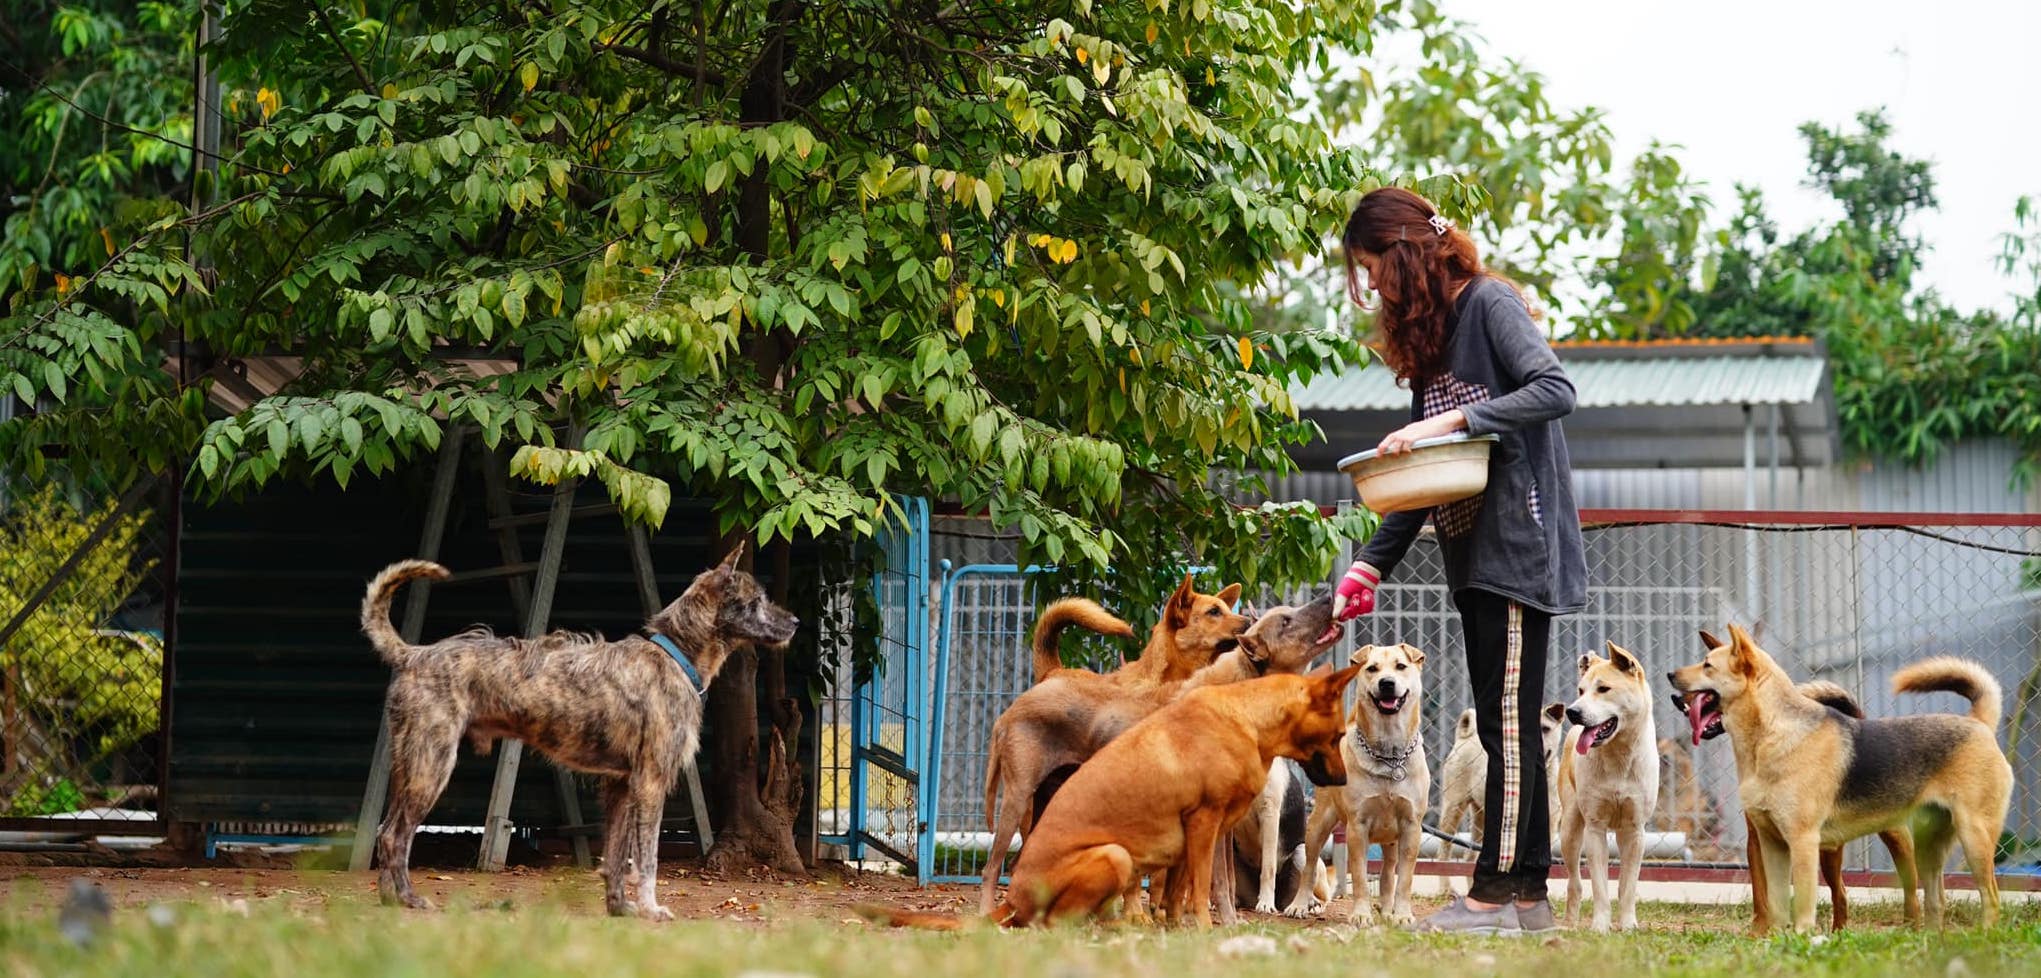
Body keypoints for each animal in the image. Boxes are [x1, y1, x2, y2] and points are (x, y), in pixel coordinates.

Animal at [359, 547, 787, 922]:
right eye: (758, 600)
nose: (795, 623)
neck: (674, 655)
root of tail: (415, 655)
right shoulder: (650, 784)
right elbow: (647, 859)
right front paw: (650, 910)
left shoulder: (620, 787)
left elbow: (614, 857)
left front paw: (620, 909)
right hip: (431, 767)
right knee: (396, 836)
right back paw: (409, 899)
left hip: (409, 767)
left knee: (384, 831)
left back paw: (389, 900)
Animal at [983, 596, 1347, 918]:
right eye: (1285, 621)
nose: (1328, 596)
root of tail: (1046, 680)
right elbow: (1207, 882)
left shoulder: (1224, 827)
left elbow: (1220, 883)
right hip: (1017, 800)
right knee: (992, 868)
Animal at [1281, 645, 1428, 926]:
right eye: (1371, 668)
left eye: (1401, 666)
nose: (1386, 683)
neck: (1390, 756)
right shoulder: (1357, 826)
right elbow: (1359, 875)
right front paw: (1361, 915)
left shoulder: (1411, 824)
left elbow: (1404, 879)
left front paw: (1402, 915)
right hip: (1318, 824)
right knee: (1309, 867)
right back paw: (1299, 905)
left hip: (1391, 840)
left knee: (1387, 873)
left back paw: (1387, 910)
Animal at [1559, 645, 1657, 935]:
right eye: (1581, 690)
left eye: (1603, 689)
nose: (1572, 711)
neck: (1618, 756)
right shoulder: (1595, 827)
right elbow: (1599, 886)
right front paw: (1600, 927)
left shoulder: (1635, 831)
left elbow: (1628, 886)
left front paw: (1628, 925)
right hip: (1570, 830)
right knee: (1575, 882)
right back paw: (1569, 924)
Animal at [1673, 628, 2008, 935]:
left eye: (1707, 665)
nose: (1669, 678)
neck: (1772, 734)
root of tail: (1978, 723)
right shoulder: (1771, 844)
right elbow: (1775, 903)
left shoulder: (1803, 842)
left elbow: (1803, 903)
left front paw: (1802, 939)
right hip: (1930, 847)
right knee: (1936, 899)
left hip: (1972, 838)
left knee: (1989, 896)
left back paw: (1983, 937)